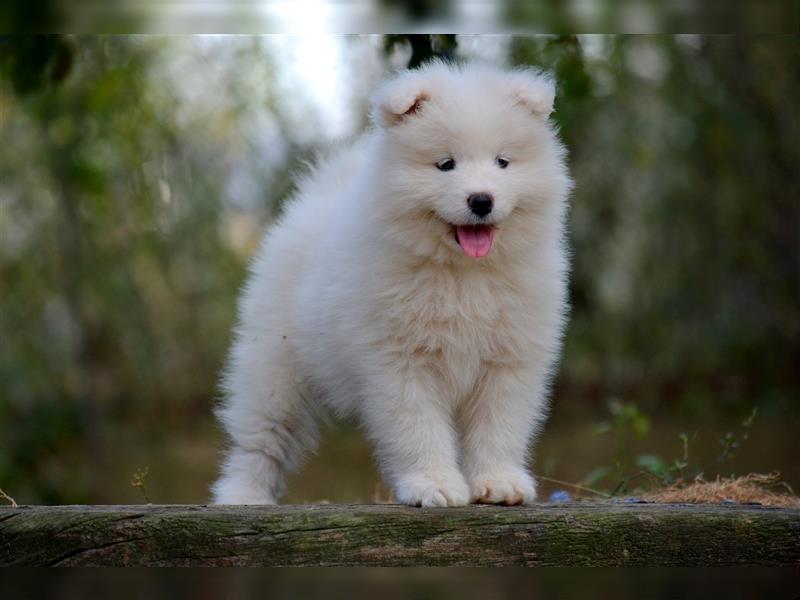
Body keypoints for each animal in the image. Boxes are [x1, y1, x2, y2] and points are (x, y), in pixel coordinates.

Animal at [212, 61, 568, 506]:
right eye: (446, 164)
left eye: (502, 162)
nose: (481, 200)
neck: (462, 274)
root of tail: (317, 200)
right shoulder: (399, 362)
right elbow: (418, 429)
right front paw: (434, 485)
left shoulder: (509, 361)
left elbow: (499, 426)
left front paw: (498, 483)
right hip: (275, 367)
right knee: (260, 440)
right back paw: (243, 495)